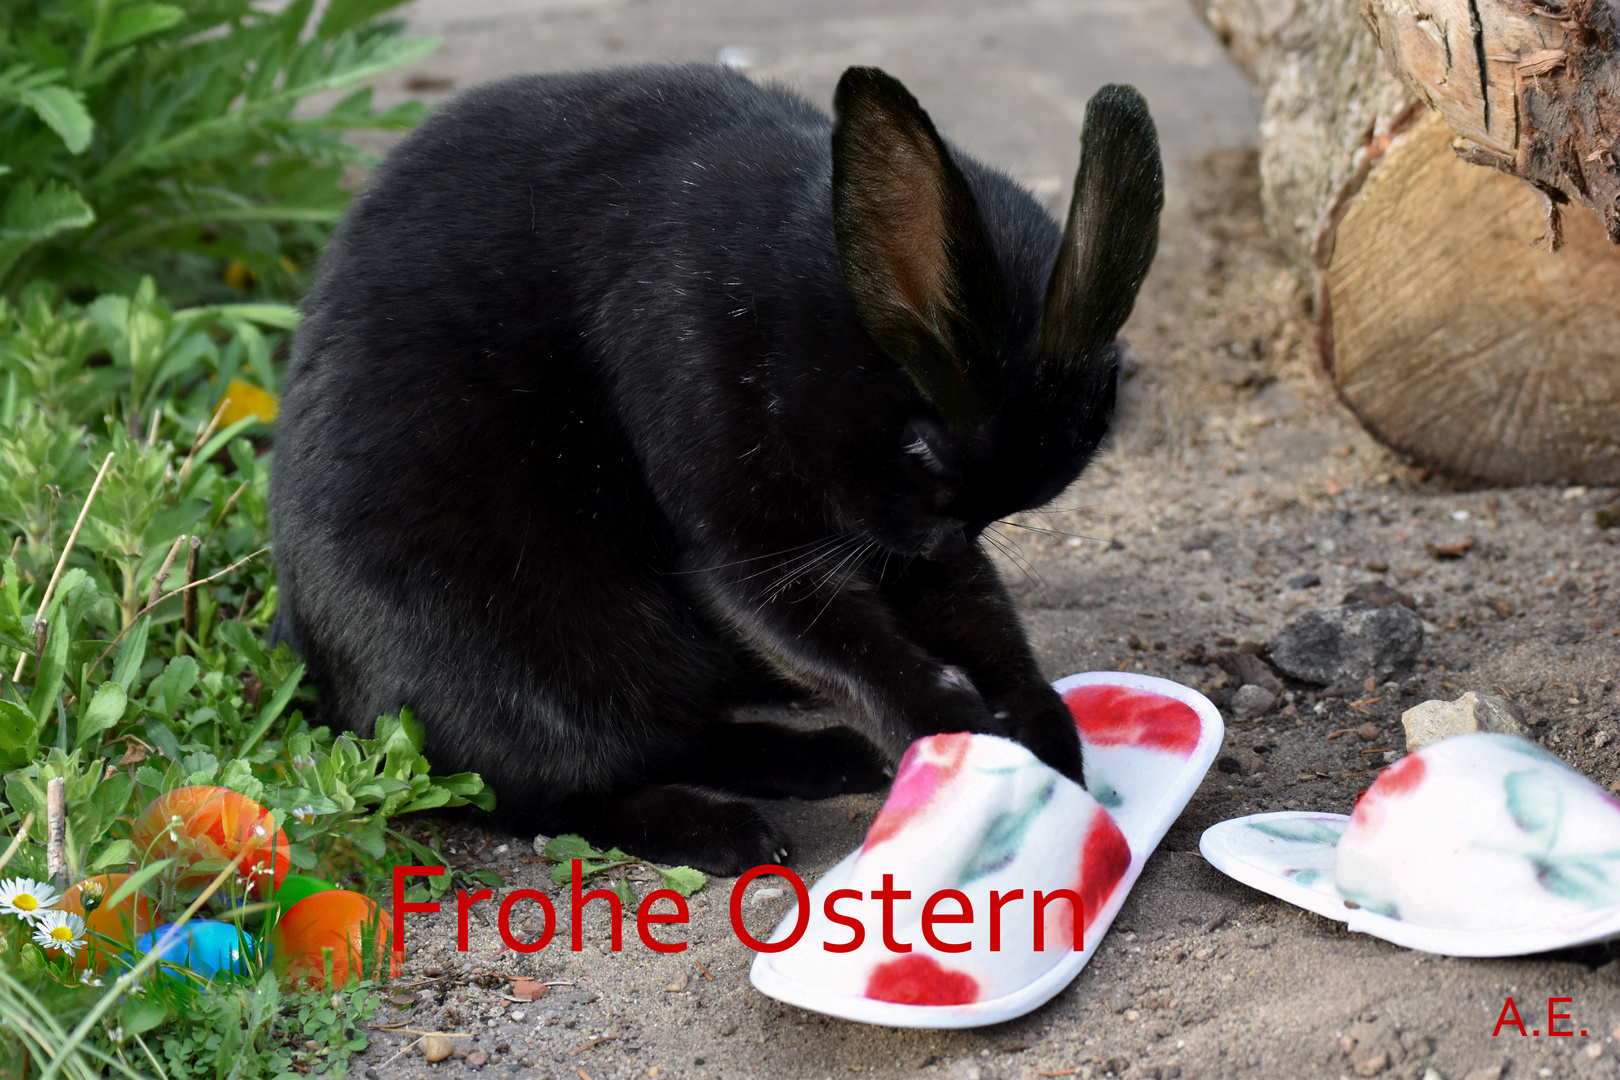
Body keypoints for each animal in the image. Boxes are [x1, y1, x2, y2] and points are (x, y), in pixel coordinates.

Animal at [275, 63, 1166, 874]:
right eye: (922, 446)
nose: (929, 545)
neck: (800, 313)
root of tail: (337, 692)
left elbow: (983, 621)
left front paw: (1047, 739)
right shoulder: (748, 544)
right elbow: (844, 646)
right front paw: (957, 731)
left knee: (681, 739)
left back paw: (830, 759)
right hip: (547, 663)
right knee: (545, 795)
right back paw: (735, 833)